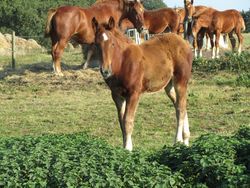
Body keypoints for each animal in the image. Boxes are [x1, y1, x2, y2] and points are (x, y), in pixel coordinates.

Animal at [93, 16, 192, 151]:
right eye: (96, 44)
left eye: (112, 44)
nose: (105, 71)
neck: (122, 63)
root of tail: (184, 43)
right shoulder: (117, 95)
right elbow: (121, 122)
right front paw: (124, 147)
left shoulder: (134, 94)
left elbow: (128, 120)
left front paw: (128, 149)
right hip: (169, 86)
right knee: (180, 105)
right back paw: (186, 139)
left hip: (181, 81)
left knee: (180, 108)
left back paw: (178, 141)